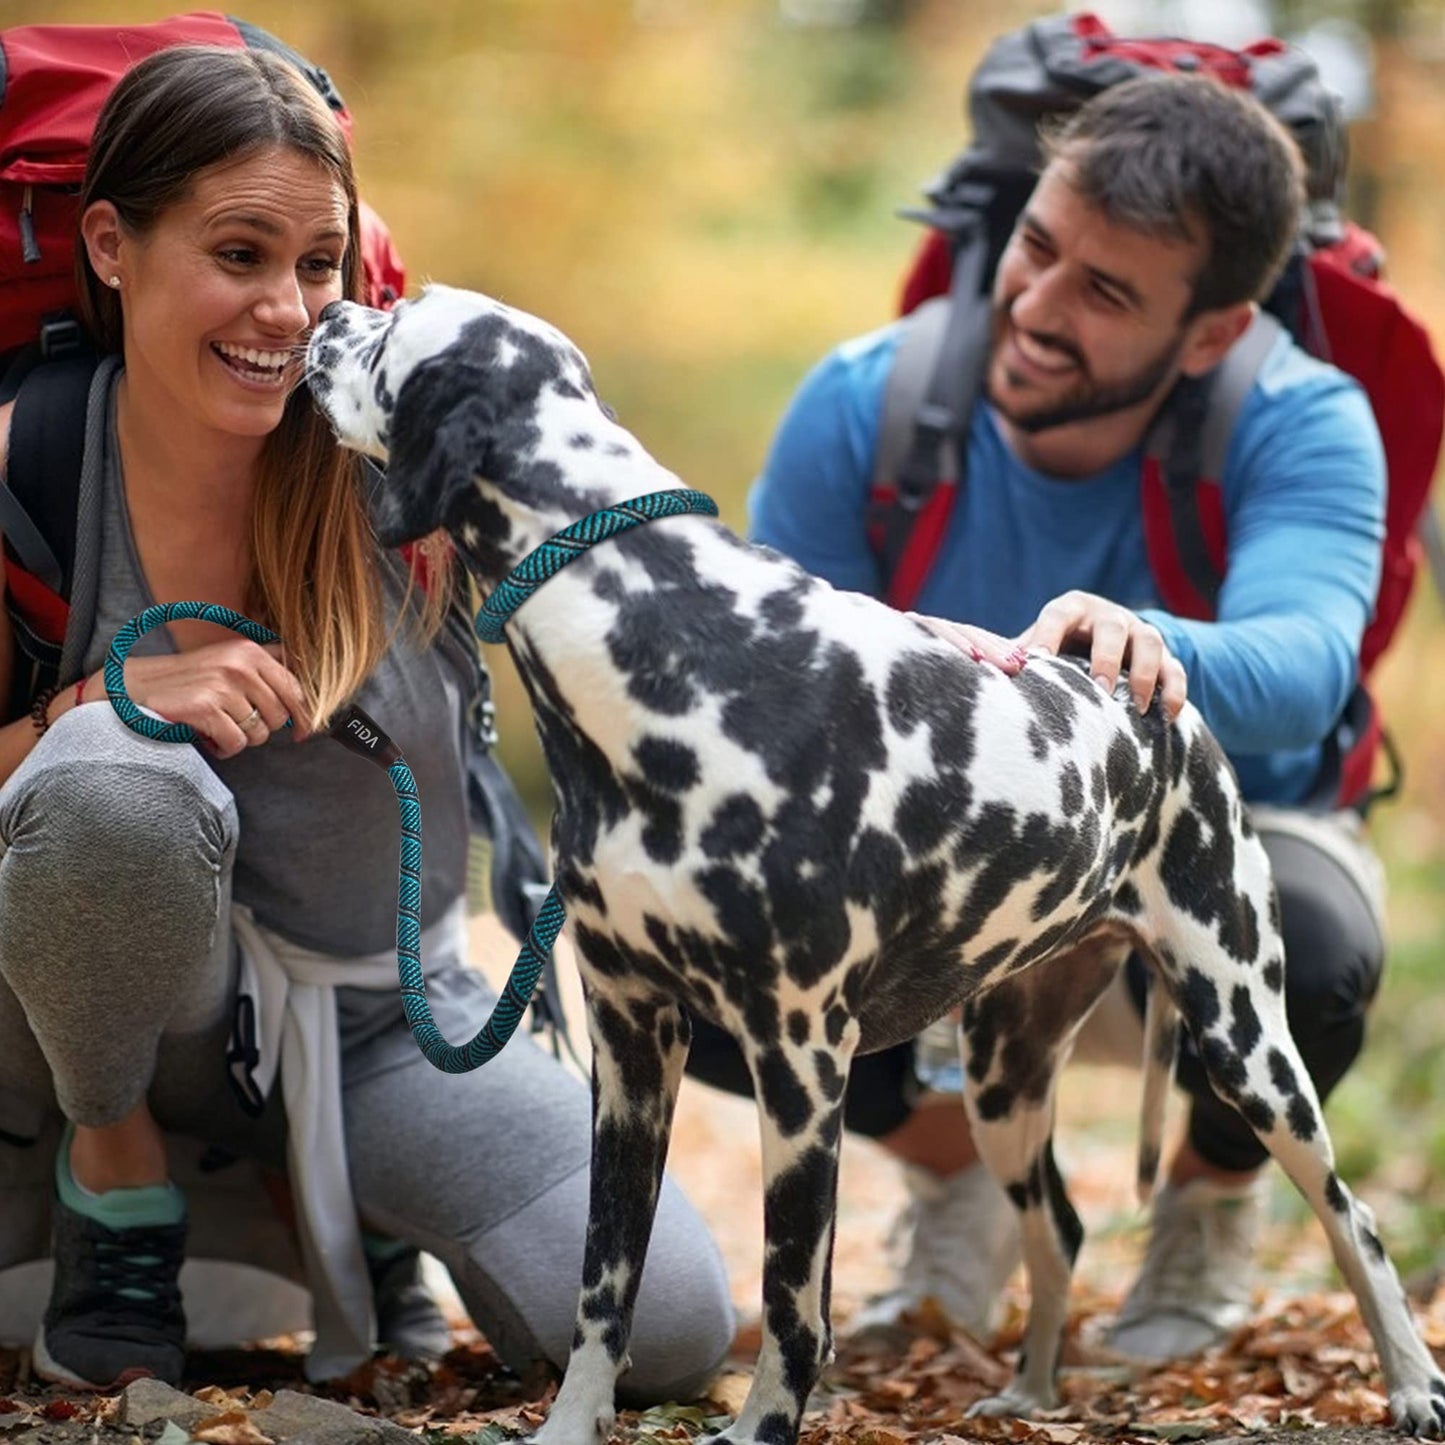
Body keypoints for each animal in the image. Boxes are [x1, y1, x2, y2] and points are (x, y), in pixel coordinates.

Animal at [307, 284, 1445, 1445]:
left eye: (396, 315)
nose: (331, 308)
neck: (661, 637)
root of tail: (1157, 702)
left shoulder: (800, 1060)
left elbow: (790, 1301)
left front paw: (757, 1430)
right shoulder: (631, 1047)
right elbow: (602, 1284)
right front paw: (572, 1425)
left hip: (1245, 1042)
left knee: (1351, 1216)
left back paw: (1407, 1381)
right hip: (1004, 1082)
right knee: (1059, 1229)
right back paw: (1031, 1391)